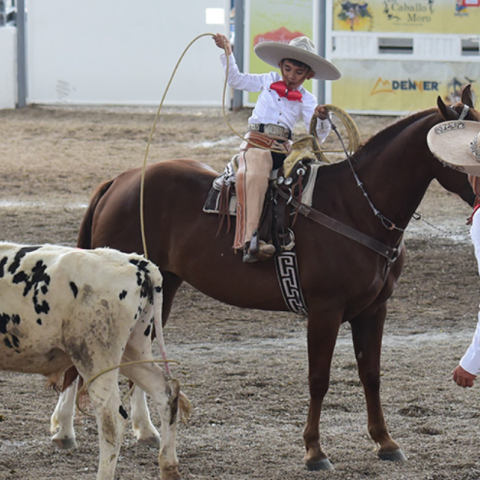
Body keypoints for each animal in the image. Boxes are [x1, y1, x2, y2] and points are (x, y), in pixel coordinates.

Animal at [0, 244, 189, 480]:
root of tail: (135, 262)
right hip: (134, 350)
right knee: (166, 392)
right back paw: (169, 468)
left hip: (97, 360)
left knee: (113, 419)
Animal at [78, 88, 476, 470]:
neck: (356, 207)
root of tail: (120, 181)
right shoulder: (325, 312)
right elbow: (319, 379)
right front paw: (314, 451)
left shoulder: (374, 310)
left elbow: (371, 374)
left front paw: (385, 442)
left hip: (162, 290)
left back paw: (146, 431)